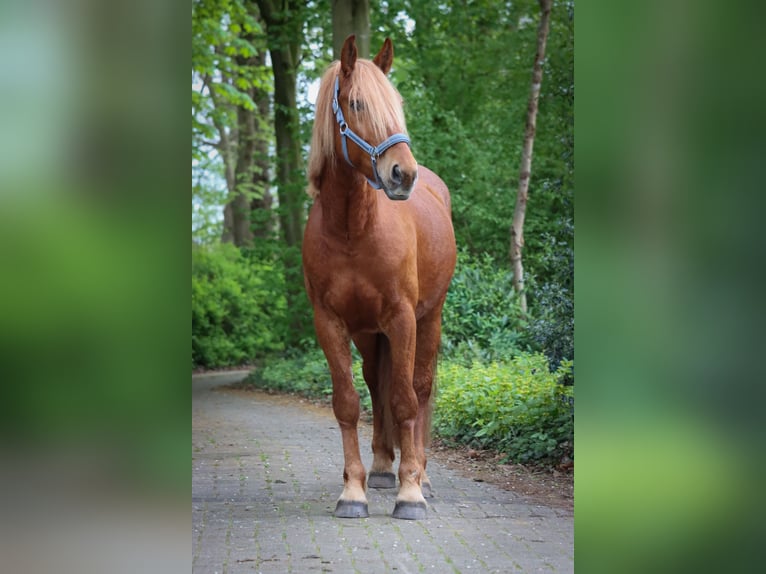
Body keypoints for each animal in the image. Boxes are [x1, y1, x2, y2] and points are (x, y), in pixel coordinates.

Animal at [302, 35, 456, 520]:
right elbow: (349, 402)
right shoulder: (331, 323)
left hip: (429, 318)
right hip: (370, 334)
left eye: (397, 103)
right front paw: (354, 489)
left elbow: (406, 398)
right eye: (356, 103)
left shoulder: (403, 318)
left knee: (420, 388)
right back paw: (385, 468)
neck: (353, 229)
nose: (402, 174)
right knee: (376, 384)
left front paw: (410, 494)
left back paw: (420, 474)